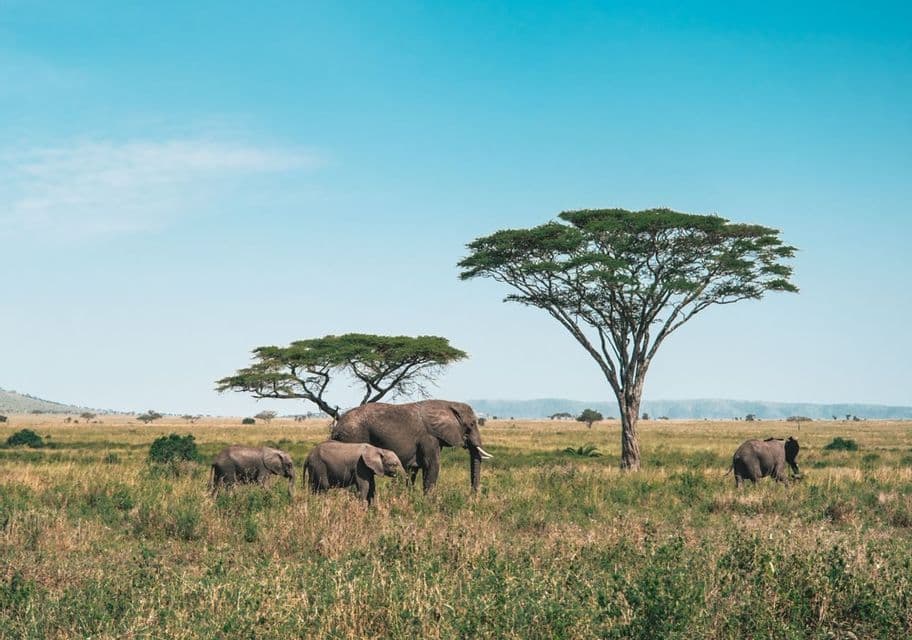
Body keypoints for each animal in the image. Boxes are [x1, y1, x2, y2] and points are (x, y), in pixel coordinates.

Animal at [330, 399, 492, 493]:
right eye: (471, 425)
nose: (473, 495)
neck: (448, 404)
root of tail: (336, 428)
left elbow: (413, 469)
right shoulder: (429, 438)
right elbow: (432, 466)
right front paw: (429, 504)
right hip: (353, 436)